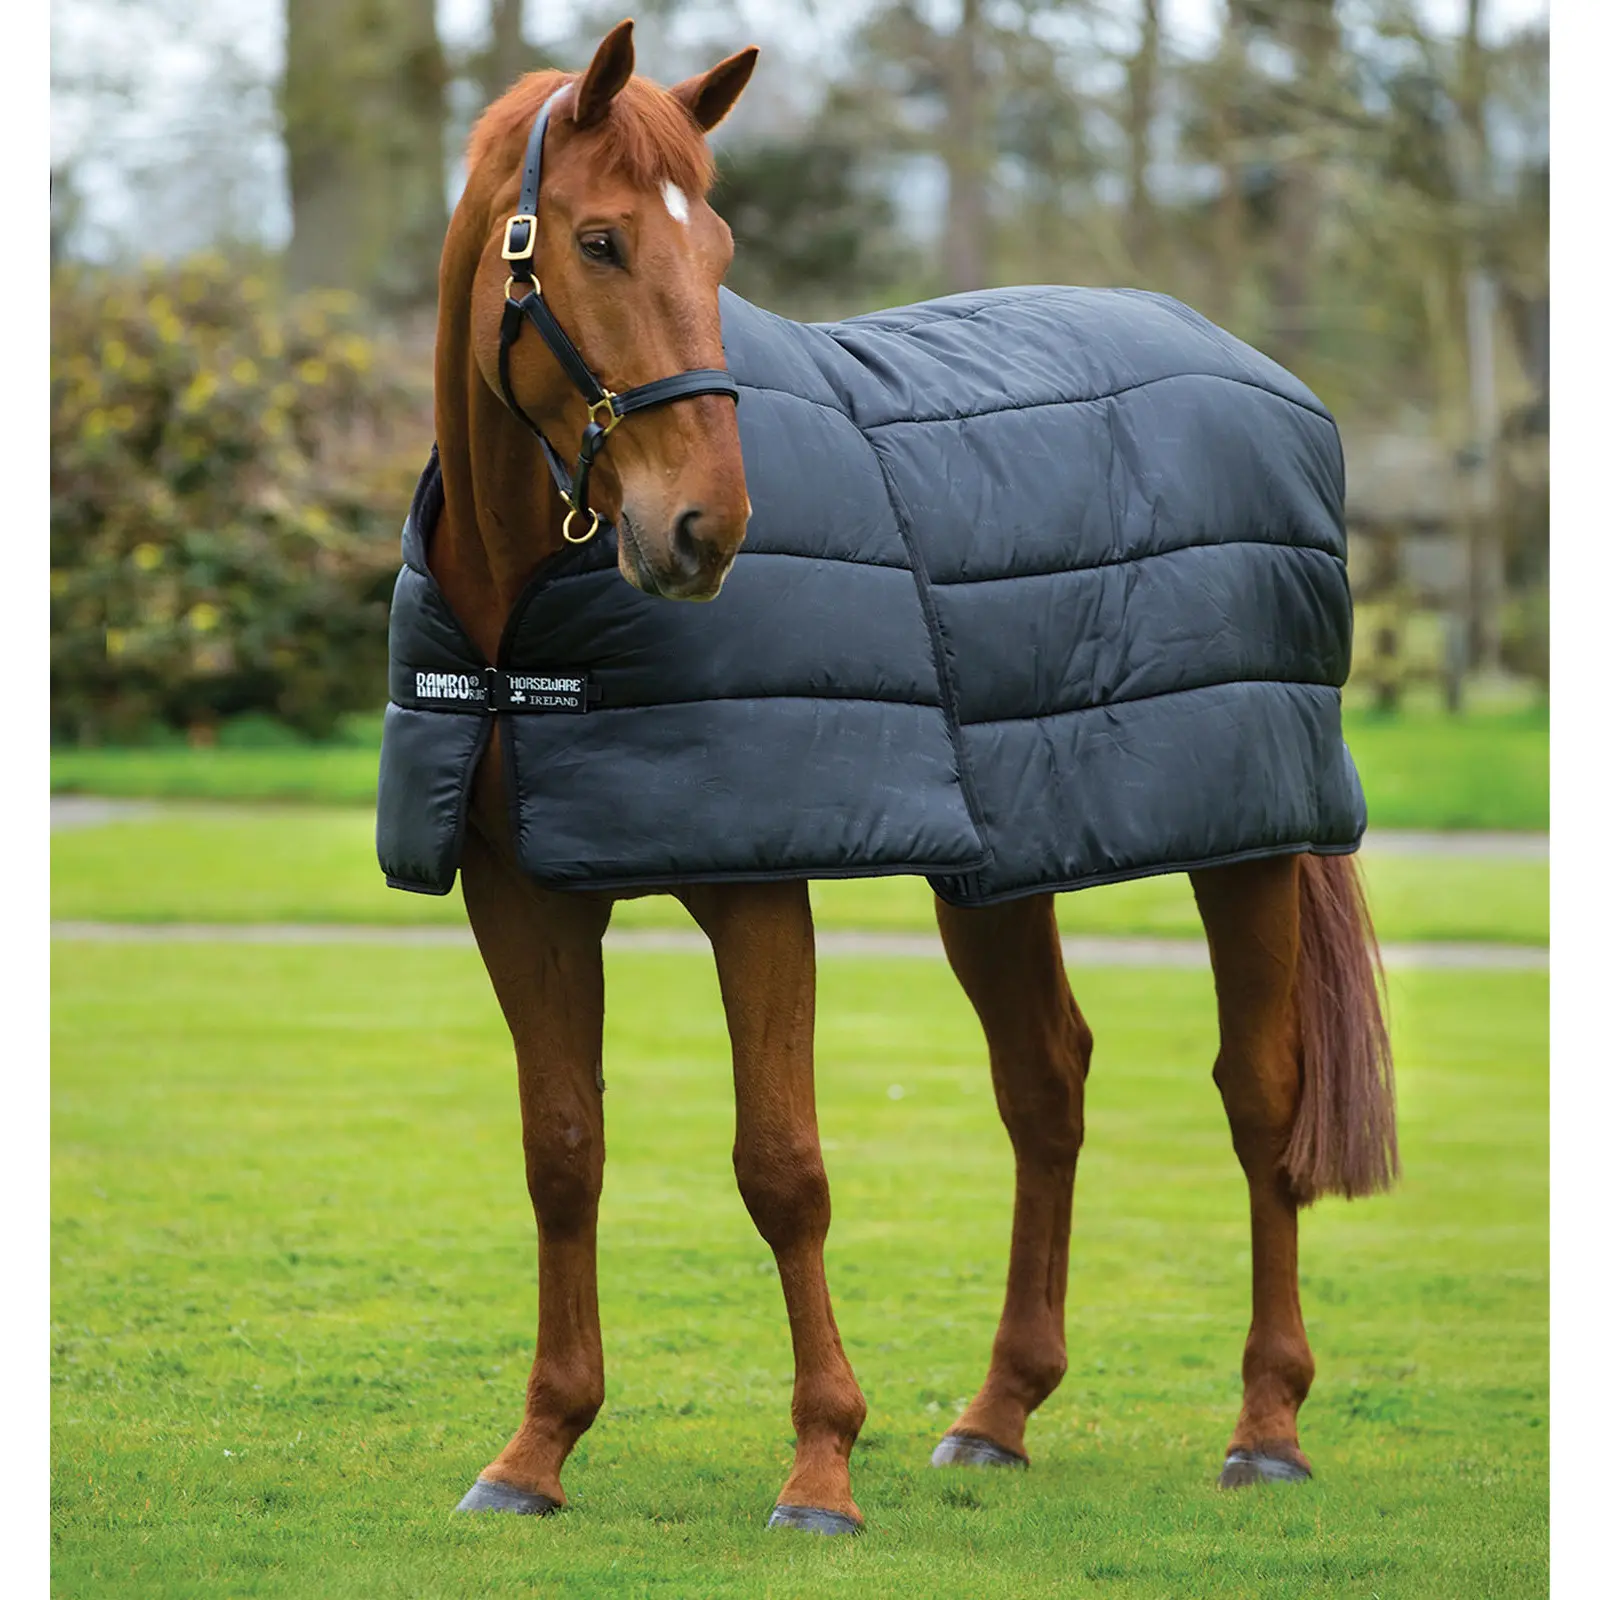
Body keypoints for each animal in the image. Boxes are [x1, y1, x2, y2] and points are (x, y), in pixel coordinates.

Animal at [413, 18, 1398, 1534]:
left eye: (719, 250)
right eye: (596, 241)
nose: (707, 529)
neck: (525, 617)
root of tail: (1264, 376)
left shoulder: (756, 885)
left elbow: (783, 1168)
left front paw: (820, 1465)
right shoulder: (521, 895)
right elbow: (563, 1152)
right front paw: (536, 1451)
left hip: (1250, 844)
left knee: (1262, 1098)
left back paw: (1268, 1423)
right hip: (1004, 863)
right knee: (1047, 1084)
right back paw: (999, 1414)